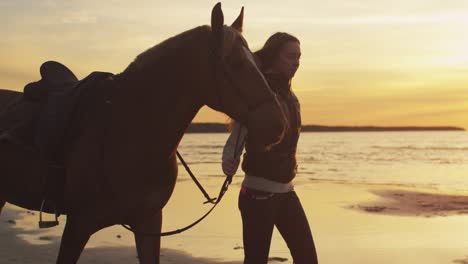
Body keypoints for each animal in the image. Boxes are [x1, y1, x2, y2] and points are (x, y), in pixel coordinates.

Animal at [0, 2, 288, 264]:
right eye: (235, 62)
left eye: (259, 62)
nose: (279, 125)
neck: (129, 130)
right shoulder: (78, 225)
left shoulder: (148, 222)